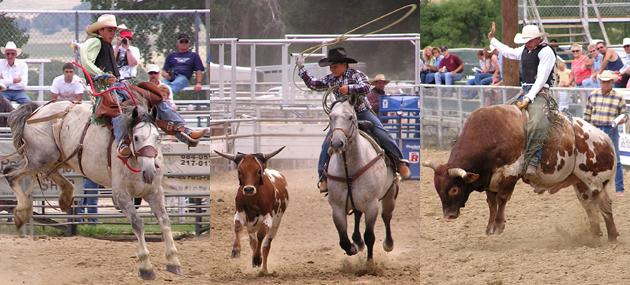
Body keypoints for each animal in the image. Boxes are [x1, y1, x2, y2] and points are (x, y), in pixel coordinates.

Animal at [4, 101, 181, 278]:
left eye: (158, 137)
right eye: (136, 137)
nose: (150, 172)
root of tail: (38, 110)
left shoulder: (155, 192)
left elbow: (165, 221)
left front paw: (173, 261)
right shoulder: (121, 195)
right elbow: (137, 223)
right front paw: (146, 267)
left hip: (56, 158)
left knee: (49, 174)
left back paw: (65, 197)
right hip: (40, 159)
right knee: (10, 173)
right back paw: (22, 212)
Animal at [424, 104, 616, 240]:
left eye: (454, 189)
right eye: (437, 189)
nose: (449, 216)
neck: (491, 133)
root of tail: (606, 139)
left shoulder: (510, 172)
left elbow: (501, 199)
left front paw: (498, 226)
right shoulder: (489, 179)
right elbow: (491, 202)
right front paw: (489, 228)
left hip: (596, 181)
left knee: (604, 205)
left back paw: (612, 237)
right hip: (580, 183)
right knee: (589, 206)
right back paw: (595, 236)